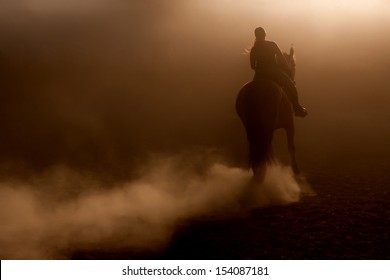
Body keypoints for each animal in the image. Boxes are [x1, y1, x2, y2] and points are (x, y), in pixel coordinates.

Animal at [236, 46, 300, 179]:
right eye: (294, 65)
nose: (294, 81)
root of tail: (255, 90)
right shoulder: (289, 124)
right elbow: (291, 146)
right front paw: (296, 170)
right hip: (267, 128)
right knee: (264, 147)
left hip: (250, 127)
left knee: (256, 147)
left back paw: (259, 173)